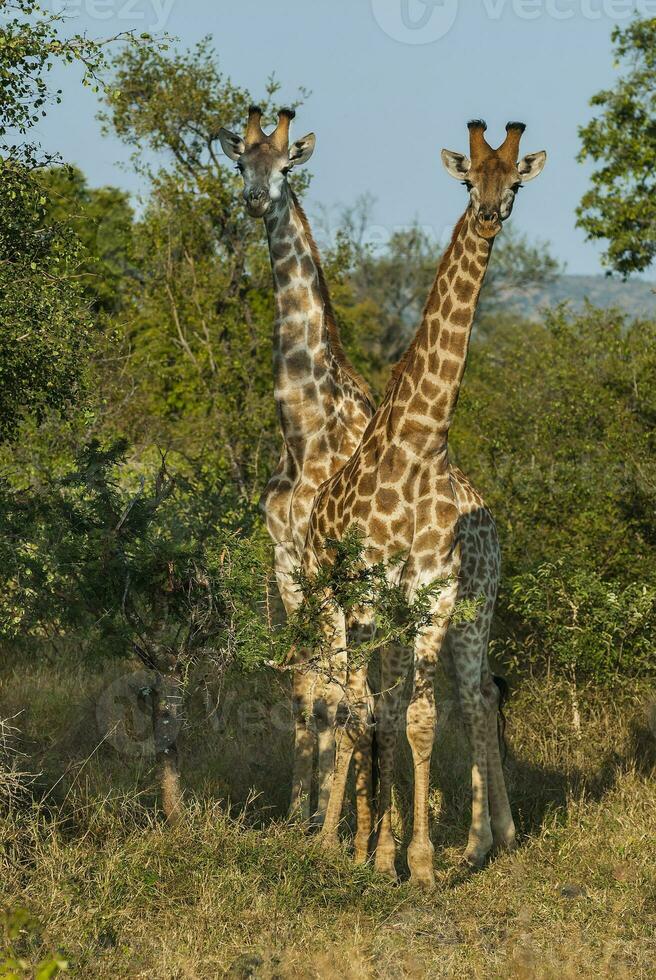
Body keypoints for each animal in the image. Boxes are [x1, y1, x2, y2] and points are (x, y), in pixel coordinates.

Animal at [304, 122, 544, 888]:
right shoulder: (374, 589)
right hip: (328, 597)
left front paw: (420, 861)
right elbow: (372, 713)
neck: (422, 442)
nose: (491, 214)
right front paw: (374, 853)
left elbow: (418, 718)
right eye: (469, 178)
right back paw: (331, 840)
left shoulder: (434, 591)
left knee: (464, 696)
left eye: (515, 179)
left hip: (463, 608)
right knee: (341, 700)